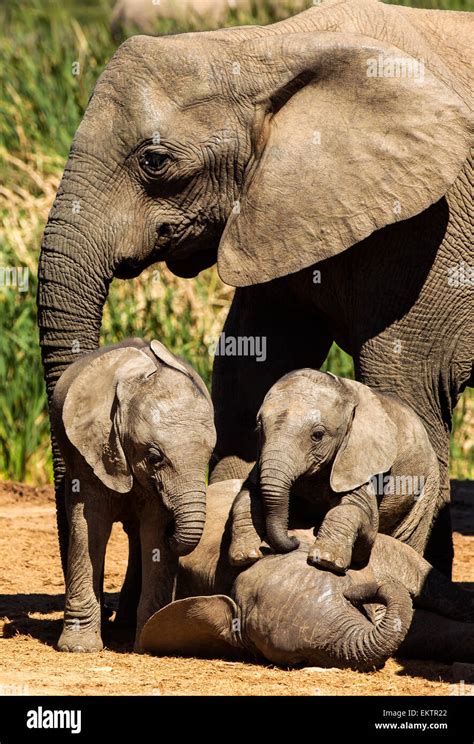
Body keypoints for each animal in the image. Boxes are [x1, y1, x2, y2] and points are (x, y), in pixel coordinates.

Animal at [51, 338, 215, 652]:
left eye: (210, 455)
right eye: (154, 457)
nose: (174, 529)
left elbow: (153, 533)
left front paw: (150, 640)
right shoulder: (88, 453)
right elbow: (89, 527)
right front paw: (78, 648)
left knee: (137, 533)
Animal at [228, 370, 438, 572]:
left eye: (318, 435)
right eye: (259, 429)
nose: (294, 539)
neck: (345, 390)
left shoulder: (360, 460)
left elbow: (359, 514)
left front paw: (326, 561)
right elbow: (247, 495)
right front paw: (245, 556)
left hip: (428, 485)